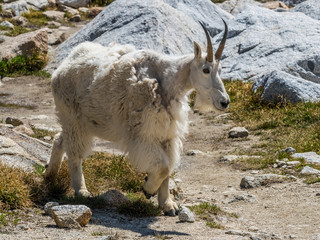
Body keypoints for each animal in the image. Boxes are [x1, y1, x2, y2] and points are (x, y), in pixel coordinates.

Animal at [45, 21, 230, 216]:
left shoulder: (167, 134)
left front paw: (168, 205)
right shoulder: (144, 134)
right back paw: (81, 191)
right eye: (205, 69)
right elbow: (163, 167)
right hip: (73, 119)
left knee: (59, 139)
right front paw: (148, 189)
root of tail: (62, 67)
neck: (166, 82)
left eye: (221, 69)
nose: (224, 102)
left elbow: (167, 167)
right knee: (74, 153)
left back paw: (49, 174)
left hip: (77, 122)